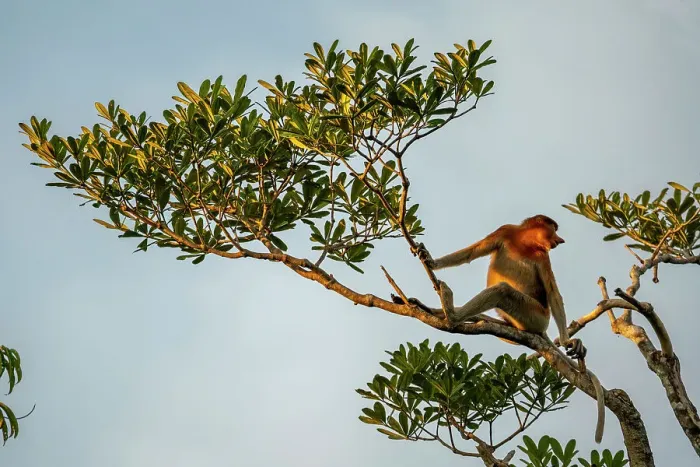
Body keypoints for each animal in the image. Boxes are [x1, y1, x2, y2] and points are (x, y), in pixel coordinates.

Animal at [393, 215, 605, 443]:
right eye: (553, 230)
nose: (560, 239)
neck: (525, 243)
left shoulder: (543, 257)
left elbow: (553, 294)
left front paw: (568, 341)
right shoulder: (505, 231)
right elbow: (471, 252)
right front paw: (429, 260)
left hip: (535, 316)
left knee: (502, 290)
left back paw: (451, 313)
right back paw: (433, 309)